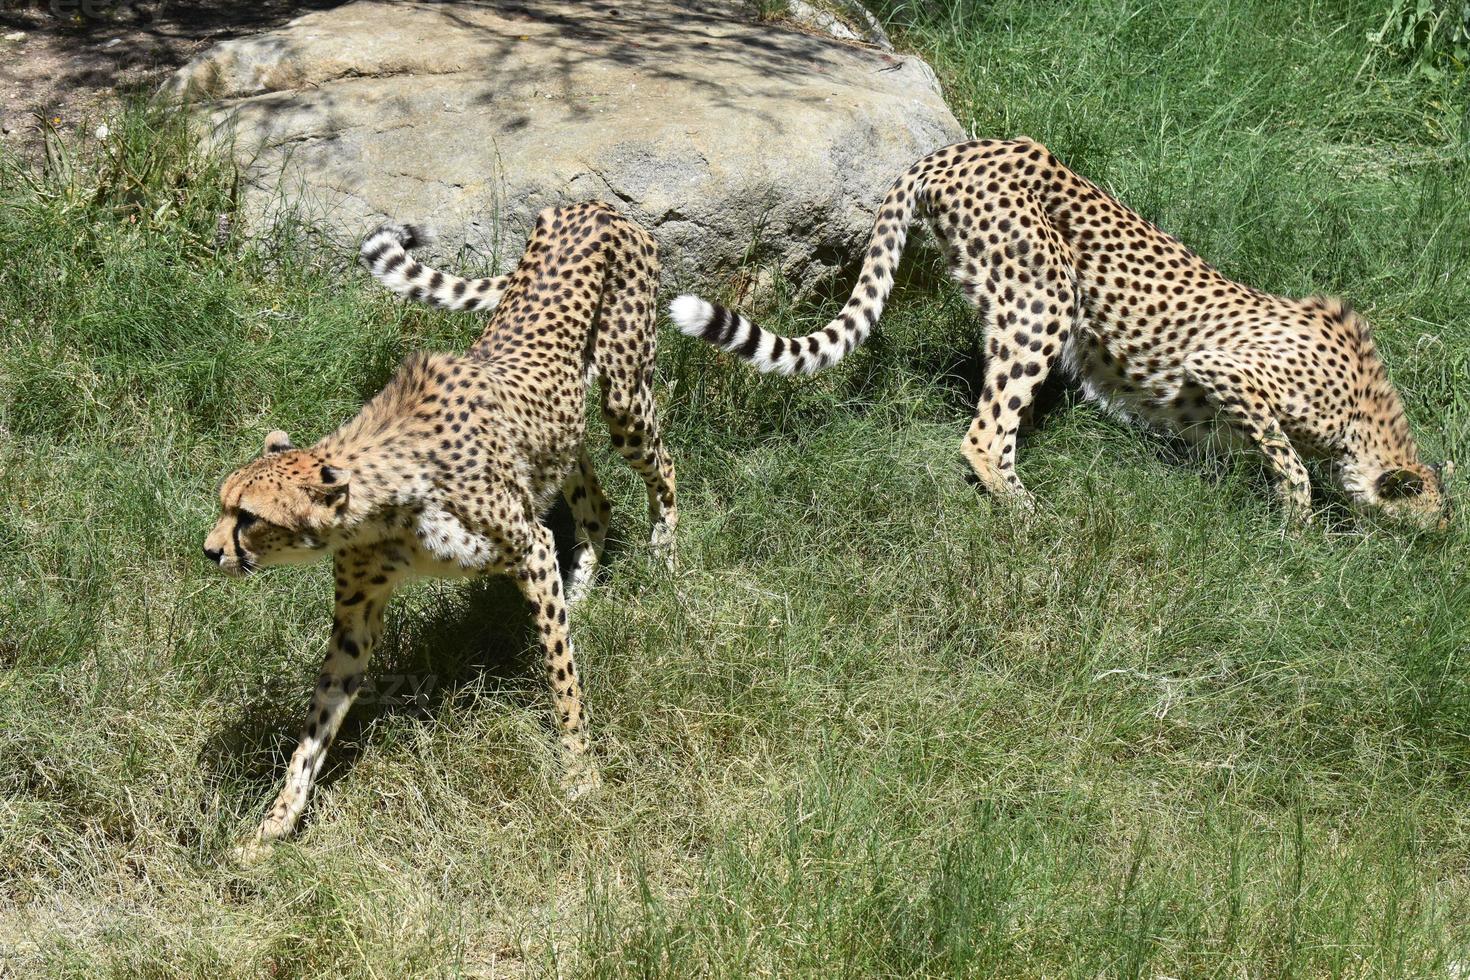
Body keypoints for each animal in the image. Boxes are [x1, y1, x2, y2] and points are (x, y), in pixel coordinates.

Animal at [202, 201, 676, 858]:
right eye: (227, 506)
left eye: (249, 517)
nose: (209, 550)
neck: (383, 503)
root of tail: (588, 204)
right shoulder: (355, 619)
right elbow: (316, 726)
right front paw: (273, 826)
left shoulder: (529, 547)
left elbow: (562, 676)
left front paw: (581, 771)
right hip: (563, 428)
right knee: (596, 503)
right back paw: (582, 590)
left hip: (624, 397)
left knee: (664, 466)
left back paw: (668, 559)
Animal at [673, 138, 1452, 528]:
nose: (1438, 552)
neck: (1366, 410)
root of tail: (960, 149)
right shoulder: (1226, 370)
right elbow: (1291, 464)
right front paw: (1297, 526)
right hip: (1046, 299)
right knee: (984, 433)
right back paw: (1030, 517)